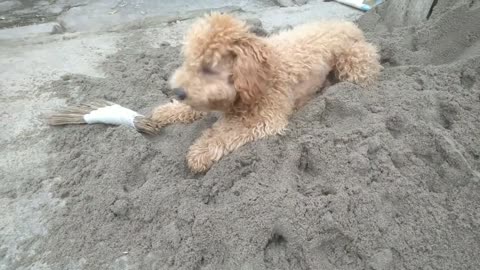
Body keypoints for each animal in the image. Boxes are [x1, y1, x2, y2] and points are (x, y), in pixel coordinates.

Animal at [137, 12, 380, 172]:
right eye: (189, 60)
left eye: (208, 67)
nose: (178, 91)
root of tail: (350, 25)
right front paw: (163, 113)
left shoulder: (266, 118)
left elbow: (227, 132)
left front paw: (200, 152)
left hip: (354, 64)